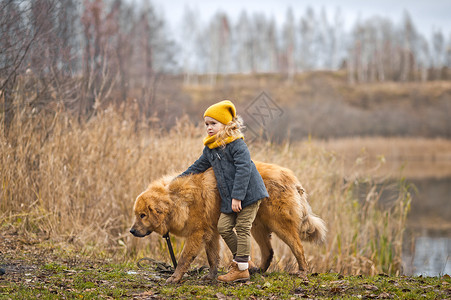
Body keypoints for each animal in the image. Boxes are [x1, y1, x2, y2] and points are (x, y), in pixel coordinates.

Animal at [129, 161, 326, 282]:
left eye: (143, 215)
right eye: (137, 214)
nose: (132, 231)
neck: (177, 200)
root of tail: (292, 179)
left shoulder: (197, 234)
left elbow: (184, 258)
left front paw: (175, 277)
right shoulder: (211, 233)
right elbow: (212, 257)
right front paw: (211, 276)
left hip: (280, 225)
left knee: (297, 247)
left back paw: (302, 272)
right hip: (256, 227)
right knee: (268, 251)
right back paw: (256, 270)